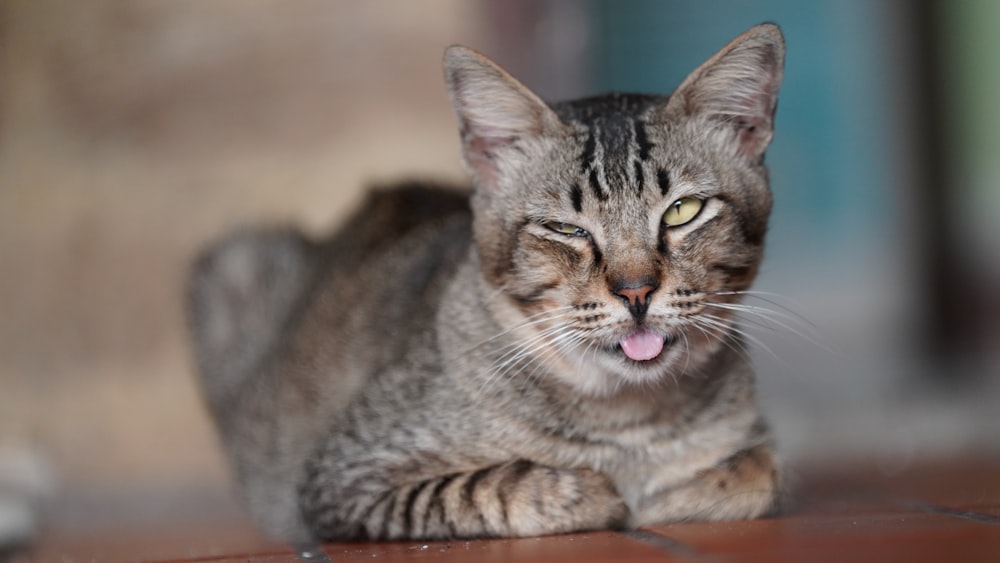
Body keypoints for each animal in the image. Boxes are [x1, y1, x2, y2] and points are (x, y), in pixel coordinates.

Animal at [186, 23, 780, 548]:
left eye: (683, 211)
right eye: (565, 228)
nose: (636, 291)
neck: (629, 424)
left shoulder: (755, 444)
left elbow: (755, 473)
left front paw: (677, 493)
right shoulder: (338, 479)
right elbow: (492, 485)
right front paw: (594, 493)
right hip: (236, 263)